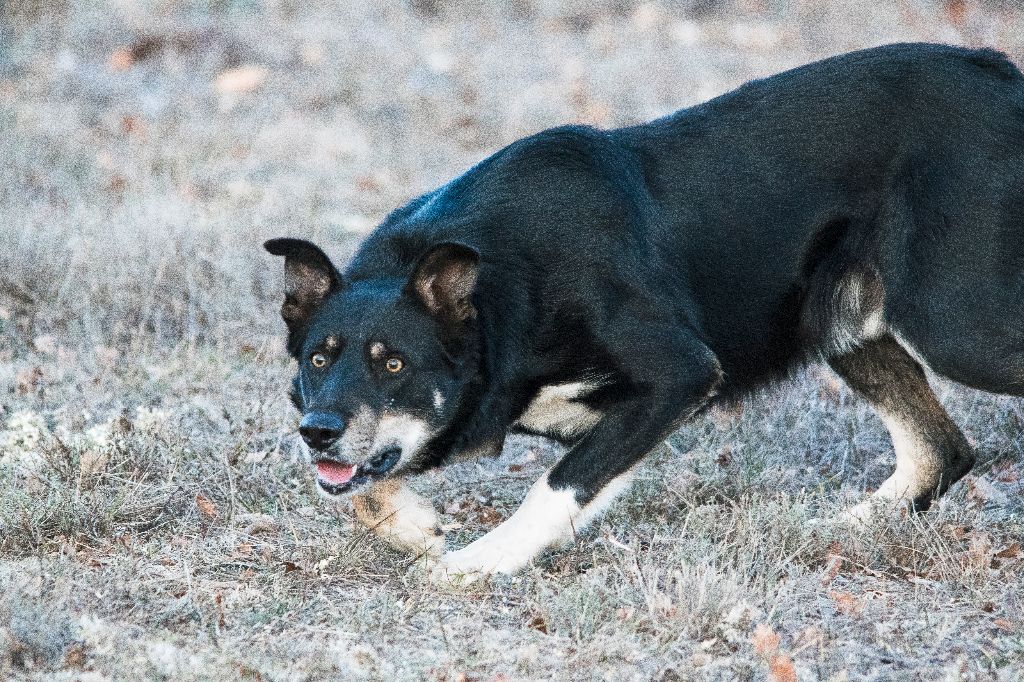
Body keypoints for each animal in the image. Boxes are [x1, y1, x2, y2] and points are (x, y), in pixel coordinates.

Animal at [266, 42, 1024, 577]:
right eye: (318, 360)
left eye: (393, 363)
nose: (318, 431)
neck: (504, 287)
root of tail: (1004, 78)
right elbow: (366, 489)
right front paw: (414, 528)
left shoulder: (681, 373)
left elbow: (558, 485)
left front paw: (481, 561)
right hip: (844, 326)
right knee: (942, 451)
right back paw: (827, 533)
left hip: (955, 322)